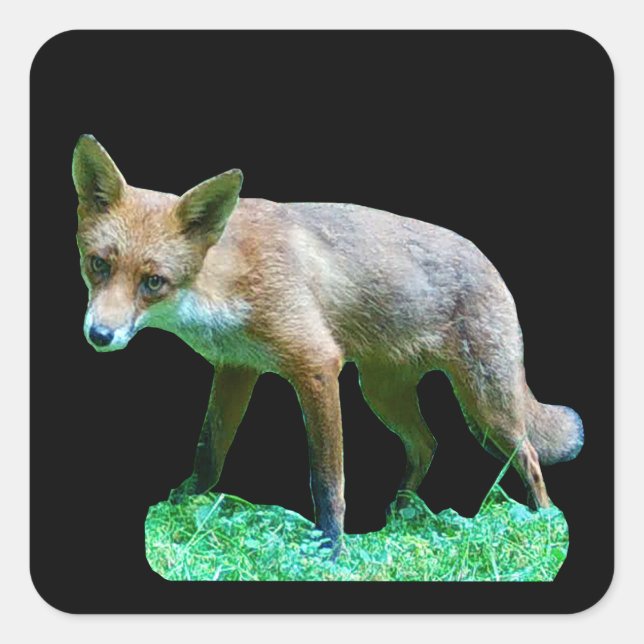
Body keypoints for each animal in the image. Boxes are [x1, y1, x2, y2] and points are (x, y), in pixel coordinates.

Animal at [73, 134, 583, 553]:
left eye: (153, 281)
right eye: (99, 265)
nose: (99, 335)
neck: (227, 278)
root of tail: (489, 261)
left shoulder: (316, 365)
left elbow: (327, 477)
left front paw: (332, 547)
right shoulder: (237, 367)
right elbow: (209, 450)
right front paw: (185, 502)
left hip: (486, 405)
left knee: (528, 455)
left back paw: (544, 525)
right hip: (382, 394)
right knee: (428, 443)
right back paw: (402, 515)